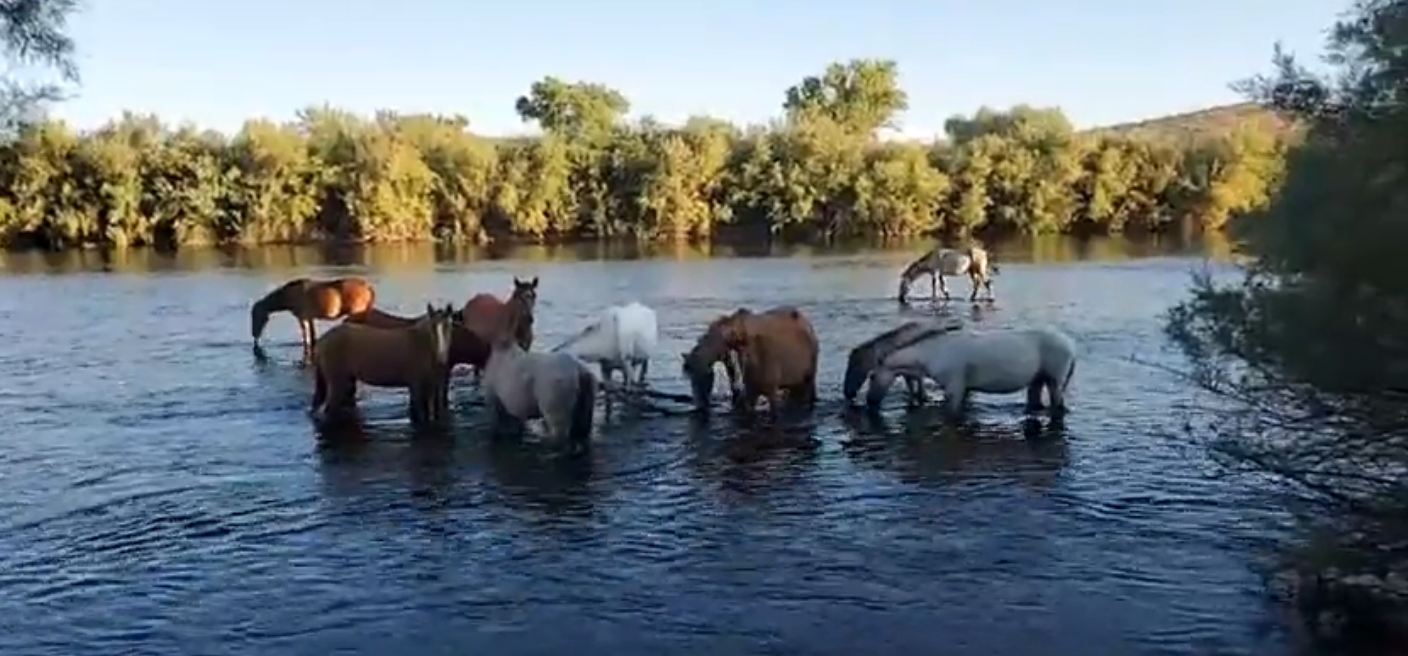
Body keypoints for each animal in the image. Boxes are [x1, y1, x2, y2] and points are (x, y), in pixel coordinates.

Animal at [309, 304, 457, 430]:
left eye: (448, 326)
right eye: (432, 328)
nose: (441, 356)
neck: (422, 344)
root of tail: (321, 342)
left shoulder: (430, 387)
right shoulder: (417, 386)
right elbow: (420, 414)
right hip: (337, 383)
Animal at [479, 297, 598, 453]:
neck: (502, 347)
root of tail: (578, 370)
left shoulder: (494, 400)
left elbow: (496, 426)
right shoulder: (515, 409)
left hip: (556, 412)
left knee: (561, 438)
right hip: (584, 411)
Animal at [863, 324, 1078, 421]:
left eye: (872, 376)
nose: (869, 402)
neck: (932, 352)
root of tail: (1070, 344)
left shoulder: (954, 388)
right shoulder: (964, 389)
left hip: (1055, 381)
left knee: (1058, 406)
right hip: (1038, 380)